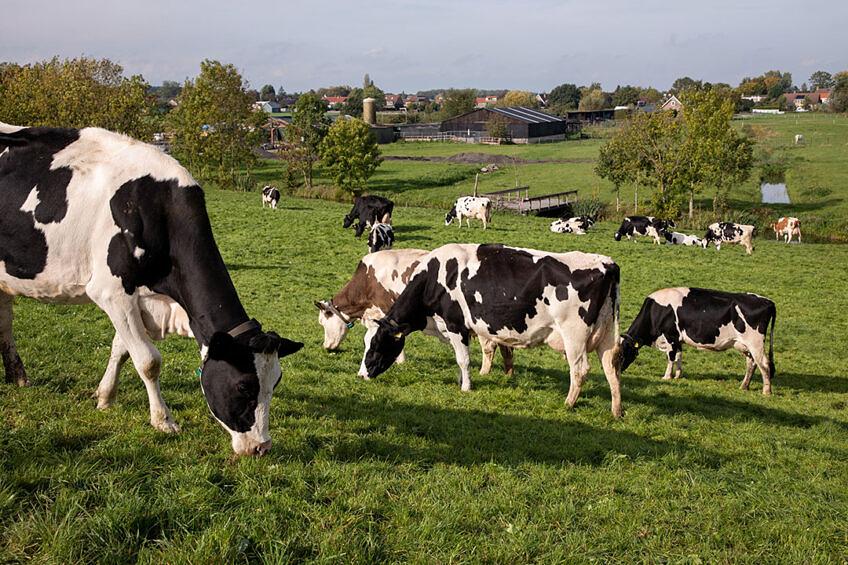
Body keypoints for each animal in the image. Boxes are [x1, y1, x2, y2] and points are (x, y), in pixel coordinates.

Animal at [0, 123, 303, 456]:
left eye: (275, 383)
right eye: (244, 386)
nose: (262, 447)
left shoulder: (139, 300)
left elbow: (120, 349)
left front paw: (105, 397)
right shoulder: (111, 291)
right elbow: (148, 360)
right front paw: (163, 420)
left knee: (5, 324)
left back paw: (18, 377)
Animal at [315, 249, 514, 378]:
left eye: (323, 323)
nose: (326, 347)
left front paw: (400, 361)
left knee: (489, 347)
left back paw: (484, 373)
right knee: (506, 349)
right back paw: (508, 374)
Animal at [362, 244, 623, 417]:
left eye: (375, 345)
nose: (361, 375)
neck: (435, 277)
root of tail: (606, 263)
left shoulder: (456, 325)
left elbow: (464, 359)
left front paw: (466, 387)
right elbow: (460, 359)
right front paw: (462, 380)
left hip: (574, 335)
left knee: (579, 370)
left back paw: (568, 403)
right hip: (607, 334)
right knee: (611, 369)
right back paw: (616, 410)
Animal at [619, 287, 776, 394]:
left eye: (621, 353)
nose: (618, 371)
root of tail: (768, 301)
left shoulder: (671, 337)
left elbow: (671, 358)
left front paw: (667, 377)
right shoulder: (678, 340)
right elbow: (679, 356)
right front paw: (678, 375)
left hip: (755, 343)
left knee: (764, 364)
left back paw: (766, 391)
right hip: (745, 345)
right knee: (752, 363)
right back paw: (744, 386)